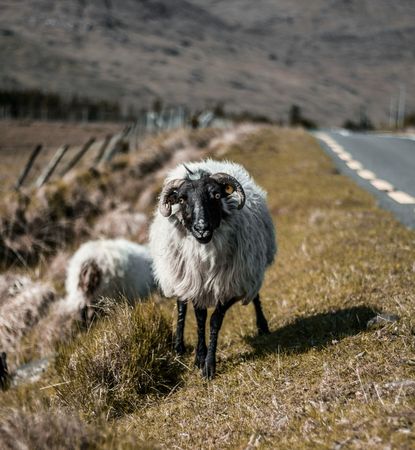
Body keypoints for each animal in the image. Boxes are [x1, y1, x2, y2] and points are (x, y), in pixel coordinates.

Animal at [149, 160, 276, 378]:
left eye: (216, 195)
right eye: (181, 199)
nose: (202, 229)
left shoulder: (232, 285)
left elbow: (215, 320)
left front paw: (208, 365)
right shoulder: (196, 284)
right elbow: (200, 319)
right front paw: (199, 357)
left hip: (250, 270)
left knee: (255, 296)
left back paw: (262, 326)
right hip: (180, 275)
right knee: (181, 306)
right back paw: (178, 347)